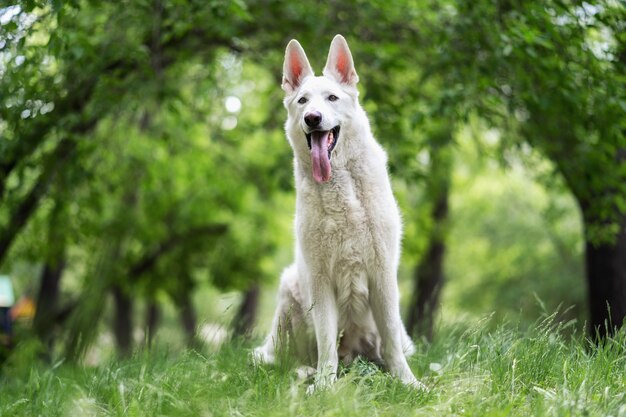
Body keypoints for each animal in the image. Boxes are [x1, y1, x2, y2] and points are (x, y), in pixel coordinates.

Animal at [254, 34, 420, 388]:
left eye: (332, 97)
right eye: (302, 101)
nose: (313, 118)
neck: (340, 186)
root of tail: (353, 358)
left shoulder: (383, 275)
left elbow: (392, 343)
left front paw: (409, 383)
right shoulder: (320, 281)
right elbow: (326, 343)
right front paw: (324, 387)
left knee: (386, 348)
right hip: (289, 289)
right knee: (289, 358)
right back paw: (306, 372)